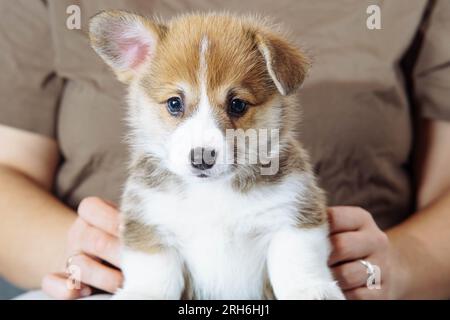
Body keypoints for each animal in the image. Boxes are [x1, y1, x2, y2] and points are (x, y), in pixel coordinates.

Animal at [89, 10, 344, 300]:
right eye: (174, 103)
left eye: (237, 104)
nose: (201, 157)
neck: (211, 192)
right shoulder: (149, 225)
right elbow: (155, 274)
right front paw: (143, 293)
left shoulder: (294, 214)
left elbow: (298, 261)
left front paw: (312, 289)